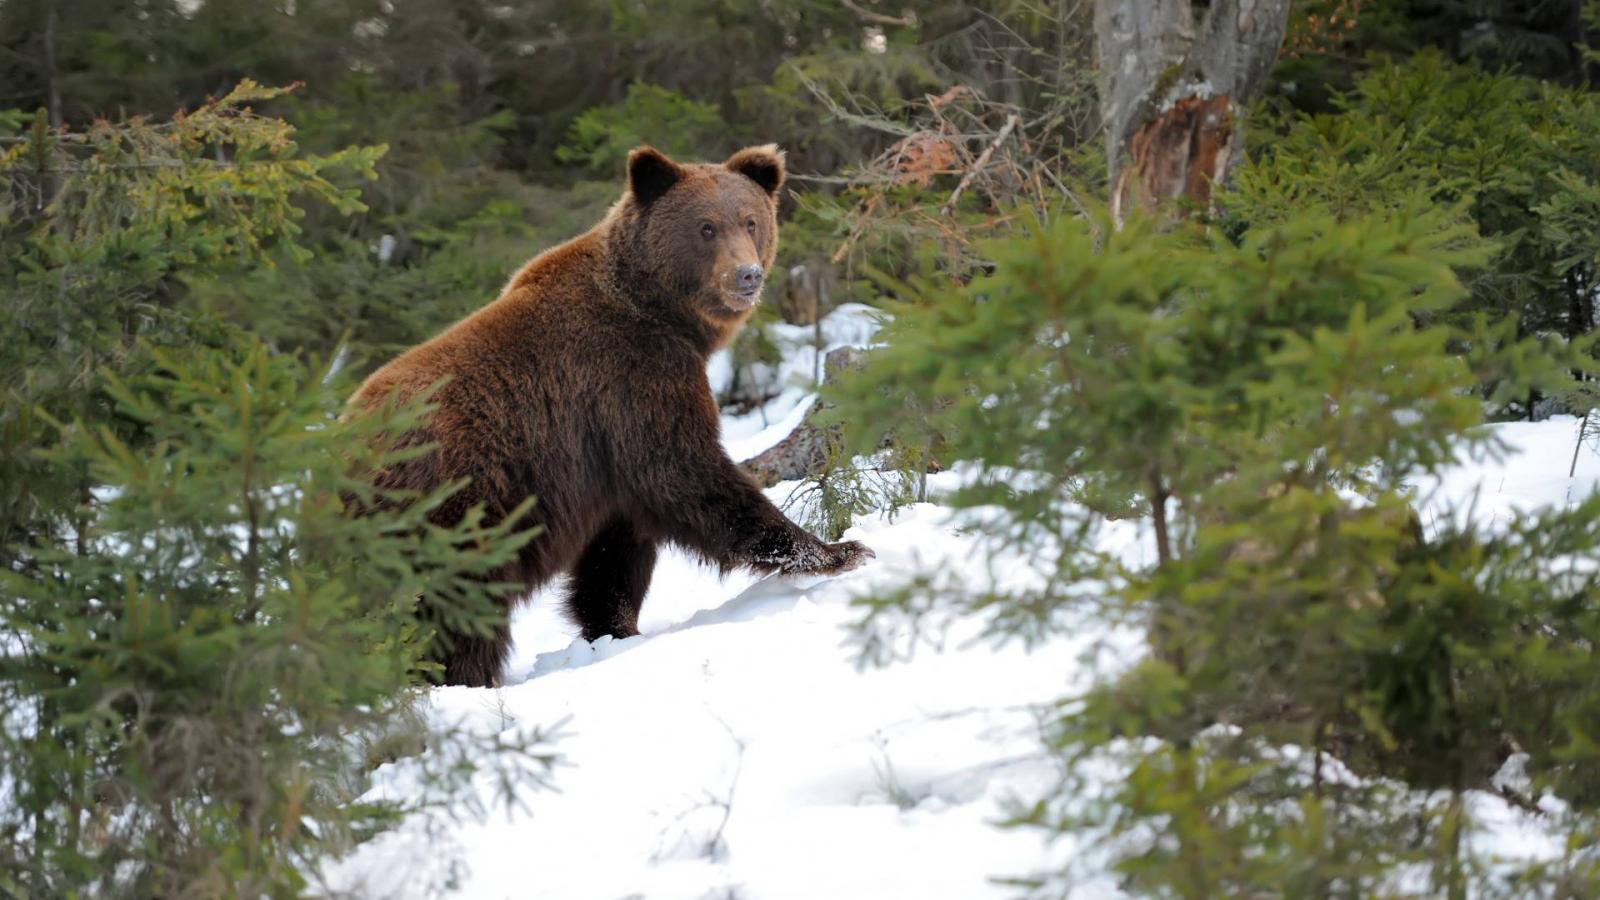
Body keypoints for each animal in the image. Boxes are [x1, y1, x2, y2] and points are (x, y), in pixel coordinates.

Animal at [348, 143, 876, 682]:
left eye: (751, 221)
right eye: (706, 227)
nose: (747, 275)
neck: (666, 313)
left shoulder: (606, 453)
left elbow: (614, 555)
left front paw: (615, 629)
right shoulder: (629, 378)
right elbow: (687, 472)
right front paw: (838, 551)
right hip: (457, 509)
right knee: (456, 609)